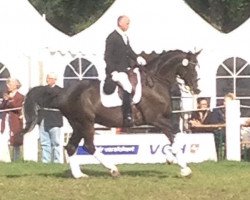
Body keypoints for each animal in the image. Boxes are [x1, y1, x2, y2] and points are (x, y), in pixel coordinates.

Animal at [22, 49, 201, 178]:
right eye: (191, 66)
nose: (196, 89)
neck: (155, 82)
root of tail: (63, 93)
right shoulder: (155, 119)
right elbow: (176, 136)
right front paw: (180, 165)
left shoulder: (164, 120)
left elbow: (177, 137)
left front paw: (174, 161)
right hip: (85, 123)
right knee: (88, 146)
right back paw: (113, 169)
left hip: (78, 125)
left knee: (71, 147)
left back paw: (79, 175)